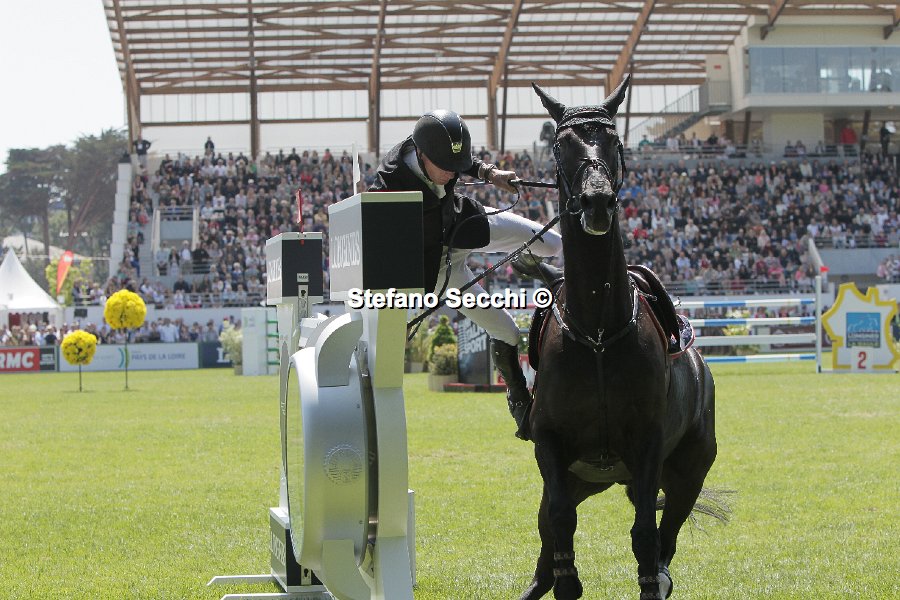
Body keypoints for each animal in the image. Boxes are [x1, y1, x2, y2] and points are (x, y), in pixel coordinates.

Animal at [519, 77, 724, 600]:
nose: (597, 202)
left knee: (665, 535)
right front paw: (568, 580)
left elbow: (645, 538)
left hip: (688, 473)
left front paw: (653, 580)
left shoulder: (648, 444)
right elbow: (560, 530)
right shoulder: (550, 448)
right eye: (561, 144)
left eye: (614, 141)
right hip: (579, 480)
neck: (596, 333)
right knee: (547, 552)